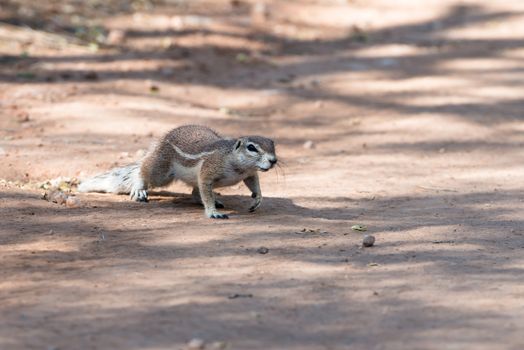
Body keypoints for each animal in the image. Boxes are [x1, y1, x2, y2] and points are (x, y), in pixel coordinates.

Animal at [78, 125, 278, 219]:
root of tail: (160, 142)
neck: (238, 166)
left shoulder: (249, 173)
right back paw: (139, 189)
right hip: (161, 171)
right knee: (143, 171)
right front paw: (212, 212)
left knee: (195, 192)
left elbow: (254, 184)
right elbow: (206, 191)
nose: (273, 160)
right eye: (251, 147)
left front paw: (257, 199)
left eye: (273, 144)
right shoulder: (208, 171)